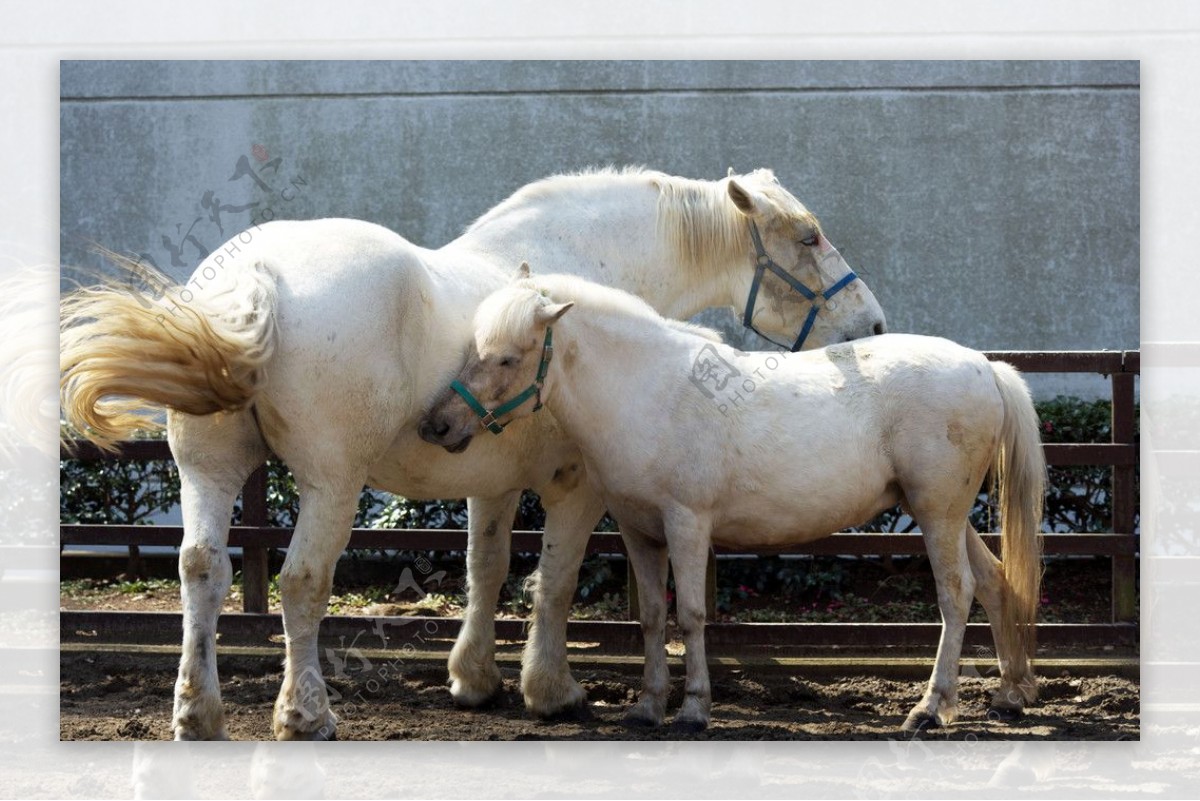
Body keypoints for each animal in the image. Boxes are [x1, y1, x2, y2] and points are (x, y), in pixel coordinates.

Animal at [56, 167, 888, 738]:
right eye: (809, 238)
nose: (874, 325)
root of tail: (254, 279)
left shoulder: (490, 481)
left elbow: (484, 571)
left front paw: (475, 678)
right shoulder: (575, 486)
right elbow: (554, 582)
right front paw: (551, 689)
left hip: (209, 469)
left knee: (202, 568)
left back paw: (198, 711)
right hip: (331, 482)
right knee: (300, 582)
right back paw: (306, 712)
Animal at [417, 268, 1046, 733]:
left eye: (507, 358)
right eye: (474, 348)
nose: (436, 425)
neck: (649, 392)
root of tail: (984, 366)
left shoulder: (687, 524)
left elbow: (691, 615)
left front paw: (695, 709)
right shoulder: (639, 531)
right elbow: (651, 616)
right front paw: (647, 707)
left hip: (938, 514)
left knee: (956, 595)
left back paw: (931, 709)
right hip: (946, 513)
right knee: (993, 581)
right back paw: (1011, 694)